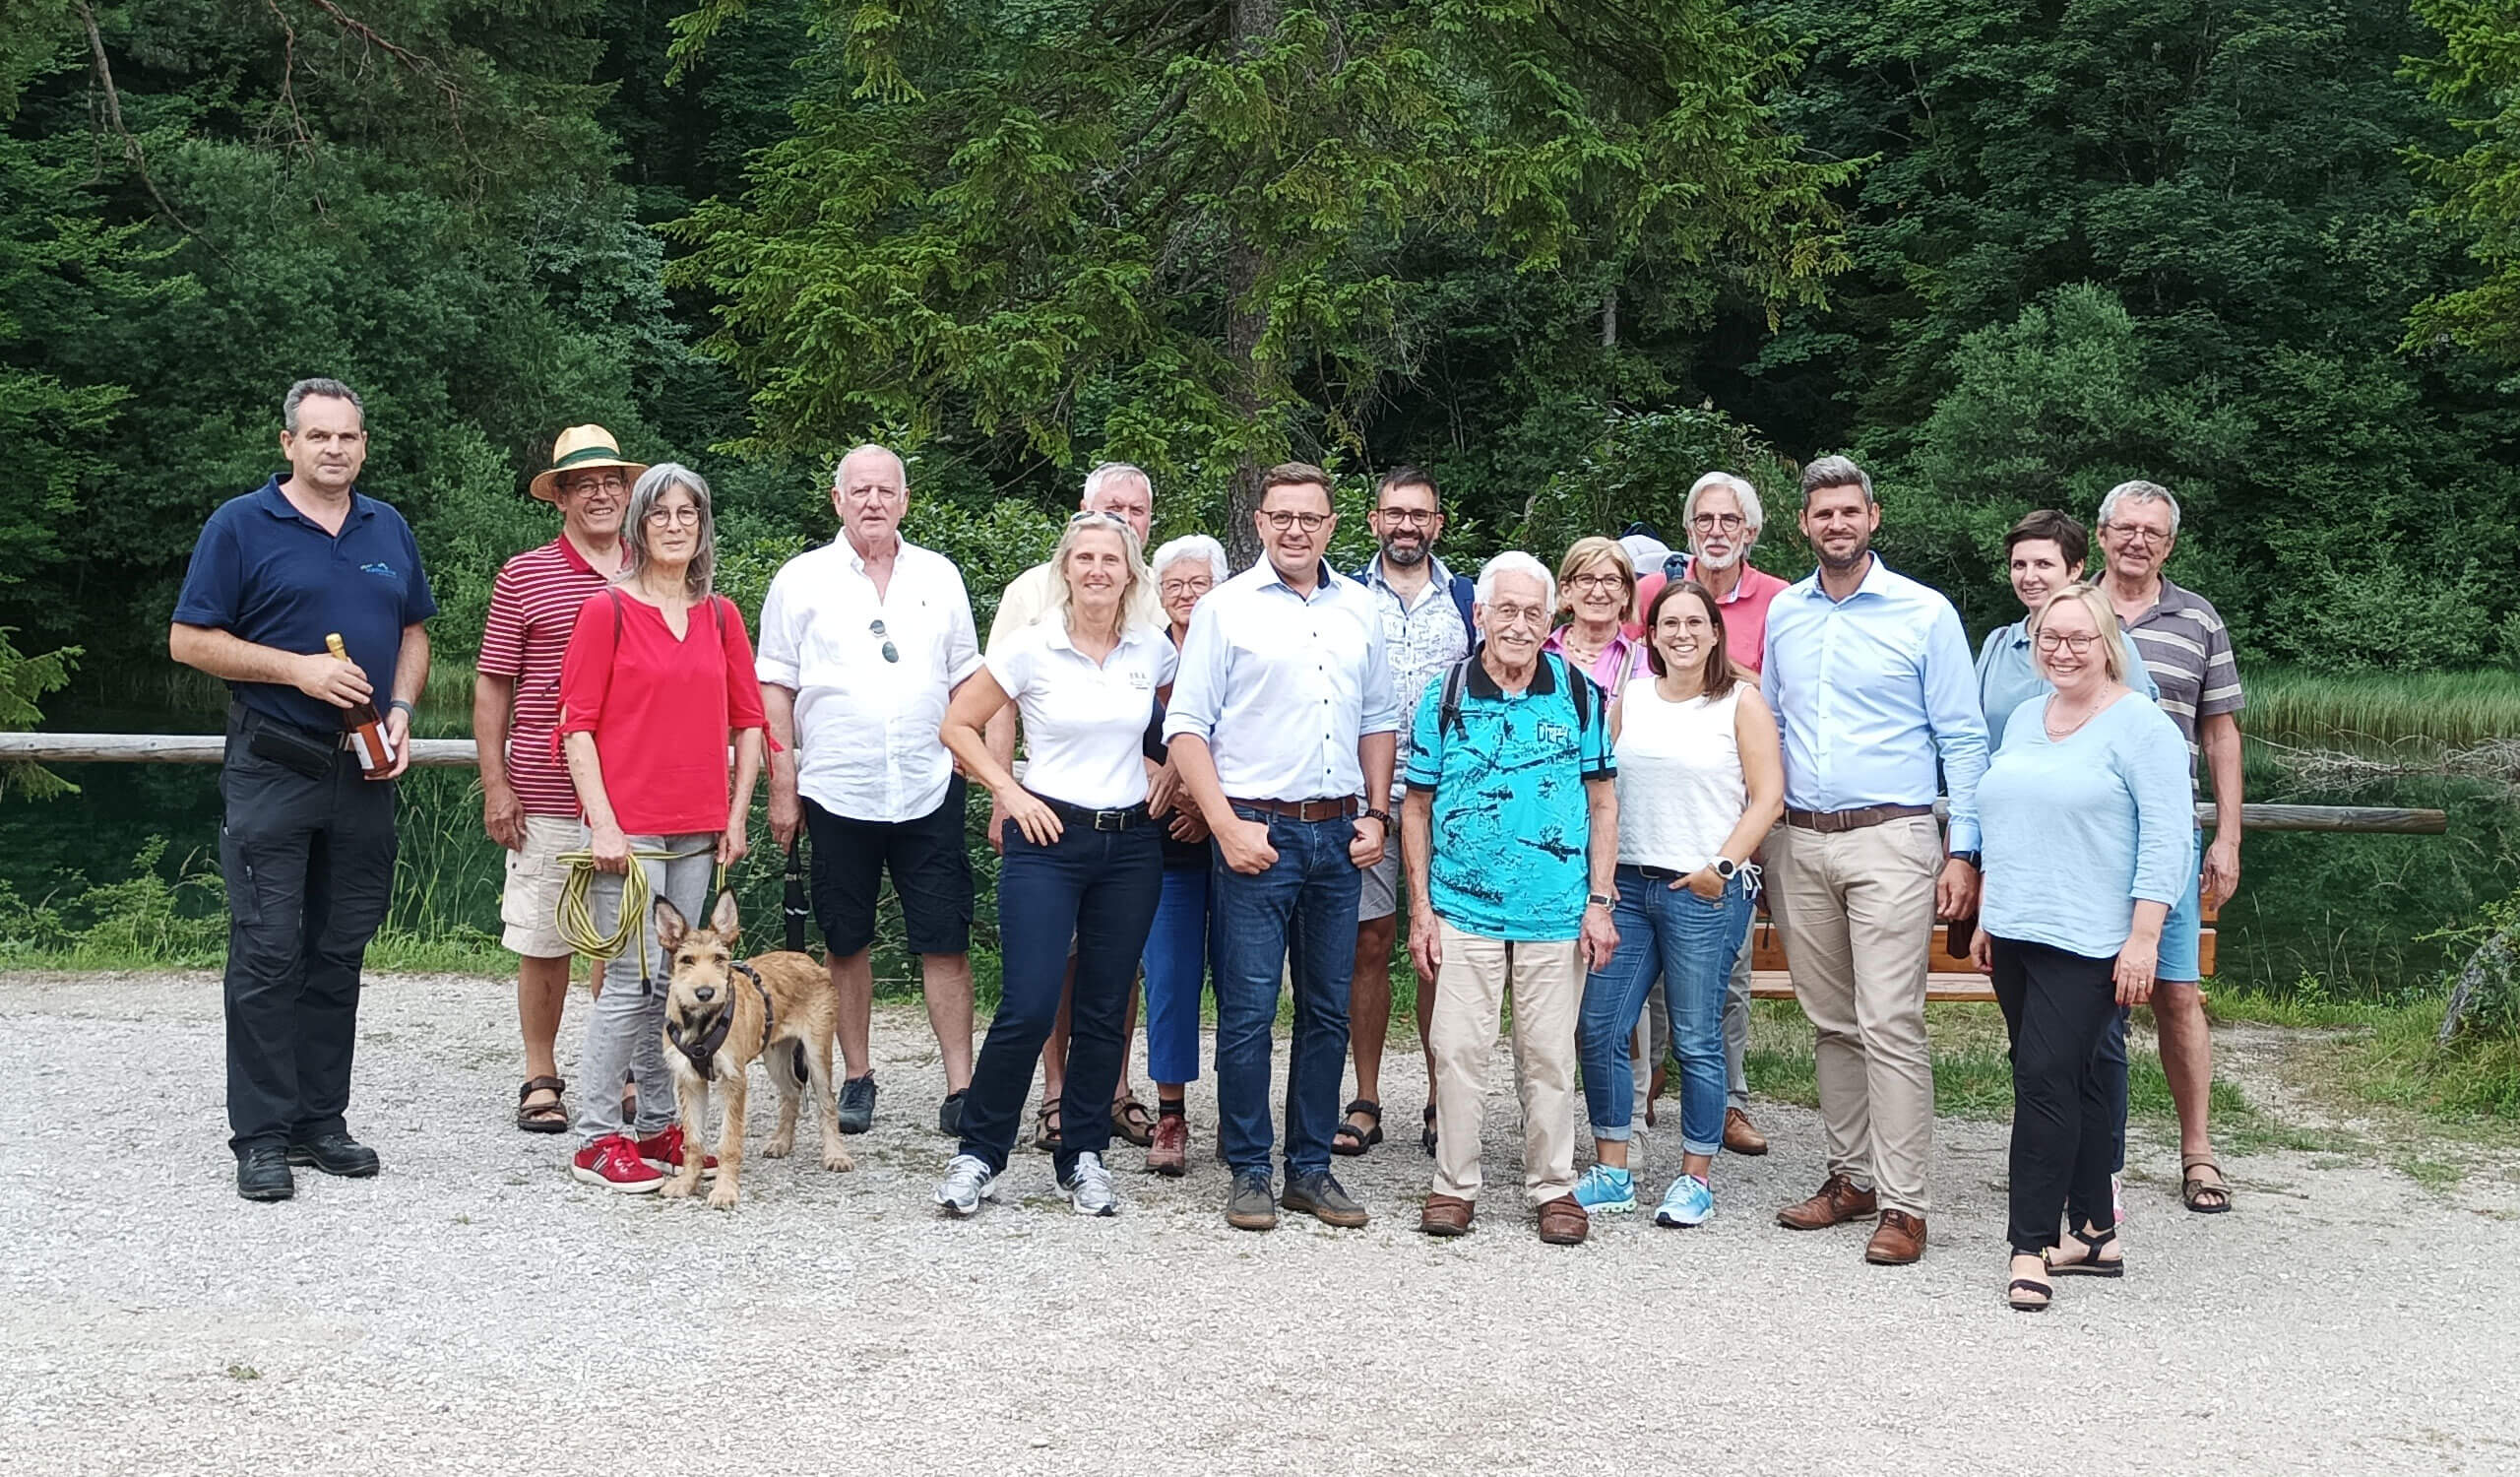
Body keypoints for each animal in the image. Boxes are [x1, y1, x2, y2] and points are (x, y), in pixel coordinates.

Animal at [655, 887, 851, 1209]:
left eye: (719, 958)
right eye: (686, 960)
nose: (705, 992)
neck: (702, 1022)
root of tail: (807, 959)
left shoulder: (734, 1080)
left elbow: (729, 1140)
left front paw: (724, 1190)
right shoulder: (689, 1080)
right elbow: (693, 1139)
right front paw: (686, 1183)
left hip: (817, 1052)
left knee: (827, 1102)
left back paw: (836, 1155)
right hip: (775, 1054)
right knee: (792, 1091)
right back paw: (781, 1142)